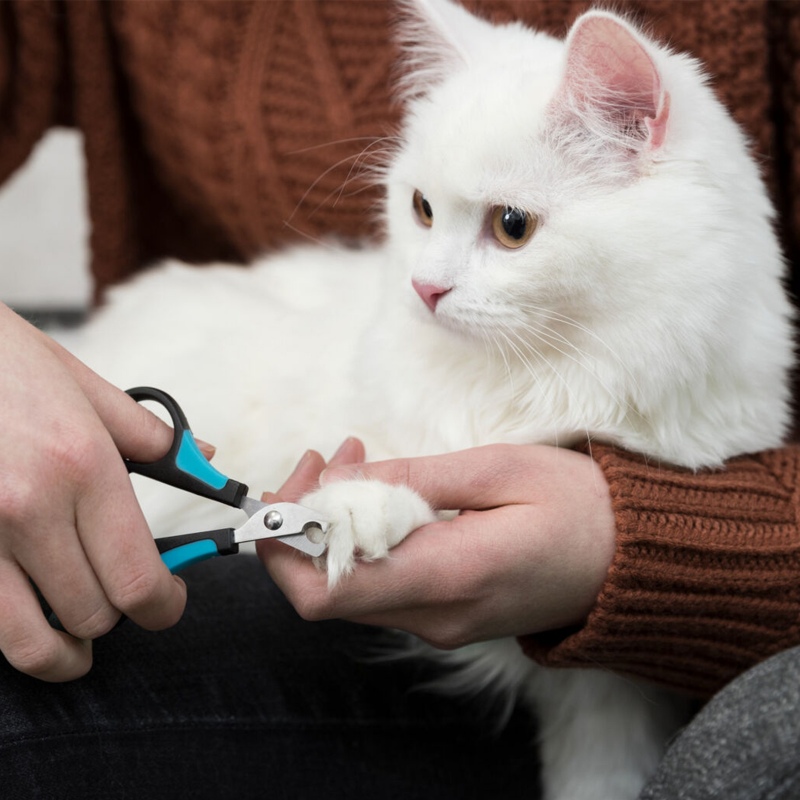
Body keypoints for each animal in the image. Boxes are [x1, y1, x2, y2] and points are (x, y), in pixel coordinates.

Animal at [62, 1, 792, 800]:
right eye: (422, 210)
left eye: (512, 227)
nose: (425, 288)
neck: (556, 381)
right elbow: (396, 491)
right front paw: (352, 514)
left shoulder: (605, 688)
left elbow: (600, 771)